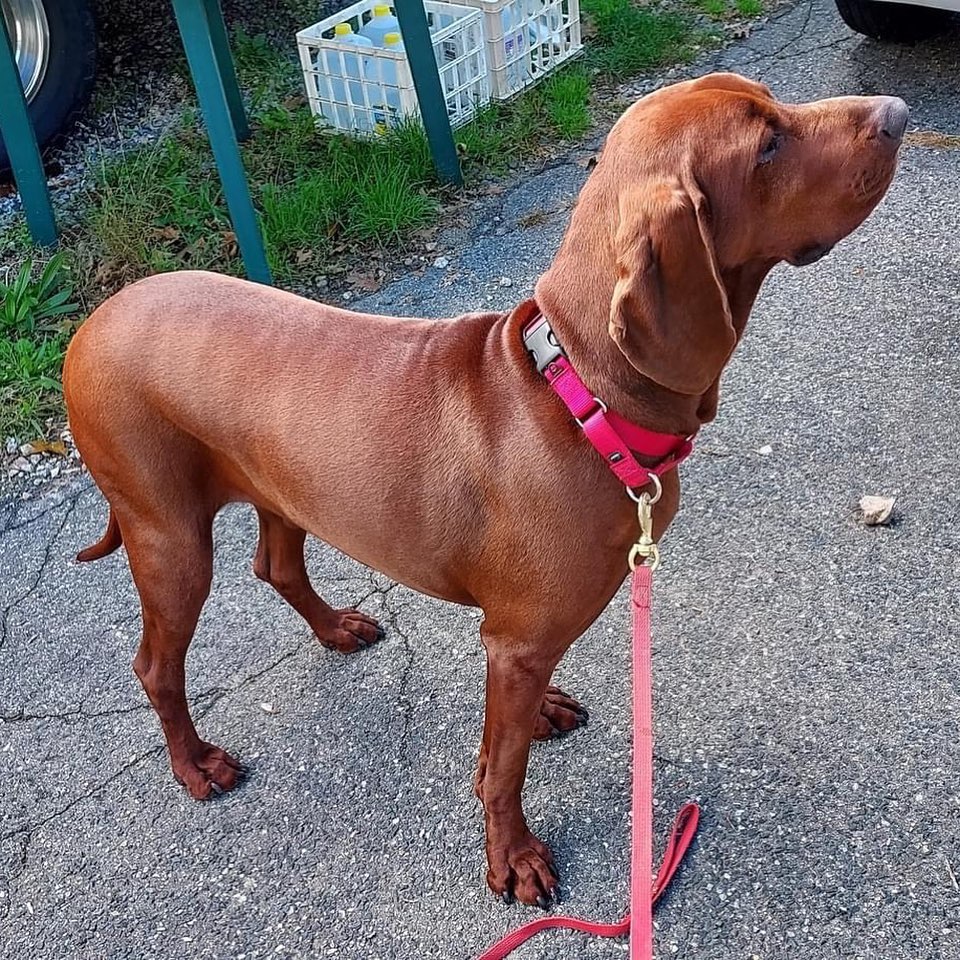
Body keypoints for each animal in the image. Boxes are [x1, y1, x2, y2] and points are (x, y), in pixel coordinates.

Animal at [63, 75, 904, 908]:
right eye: (767, 144)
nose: (896, 113)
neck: (581, 395)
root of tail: (93, 322)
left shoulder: (523, 643)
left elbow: (515, 724)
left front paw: (543, 715)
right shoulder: (515, 642)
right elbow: (502, 769)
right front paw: (513, 856)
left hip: (279, 488)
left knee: (275, 566)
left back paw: (334, 628)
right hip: (168, 536)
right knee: (155, 666)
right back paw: (196, 763)